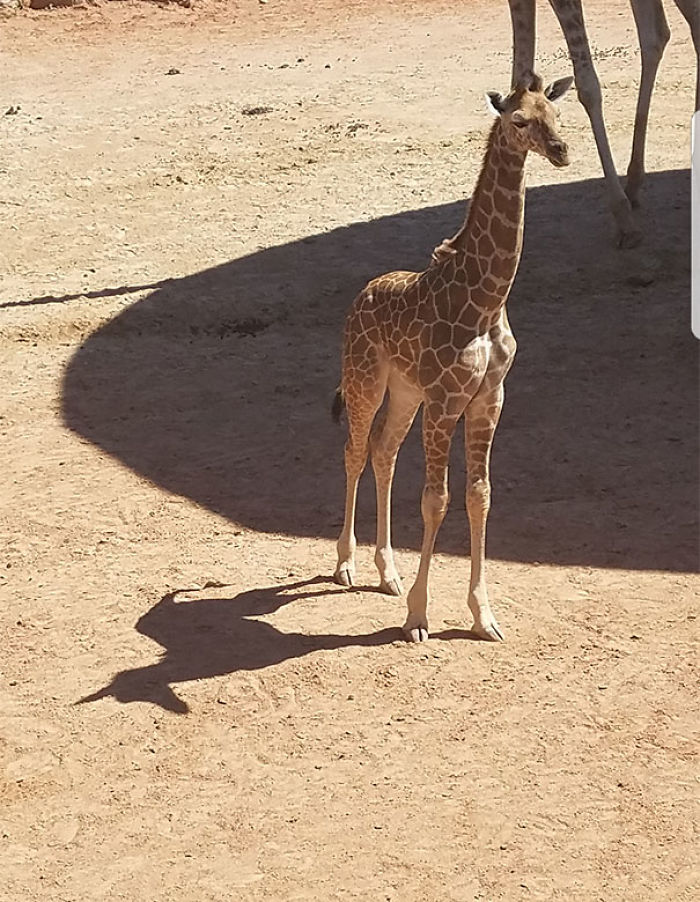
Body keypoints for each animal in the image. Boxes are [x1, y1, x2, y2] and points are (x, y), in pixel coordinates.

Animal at [332, 72, 568, 644]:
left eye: (555, 113)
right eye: (518, 120)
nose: (560, 150)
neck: (485, 300)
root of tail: (360, 296)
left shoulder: (488, 397)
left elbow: (479, 495)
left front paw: (483, 615)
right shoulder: (445, 399)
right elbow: (434, 500)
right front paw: (418, 615)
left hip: (403, 393)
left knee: (383, 452)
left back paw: (387, 572)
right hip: (364, 380)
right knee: (355, 451)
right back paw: (346, 564)